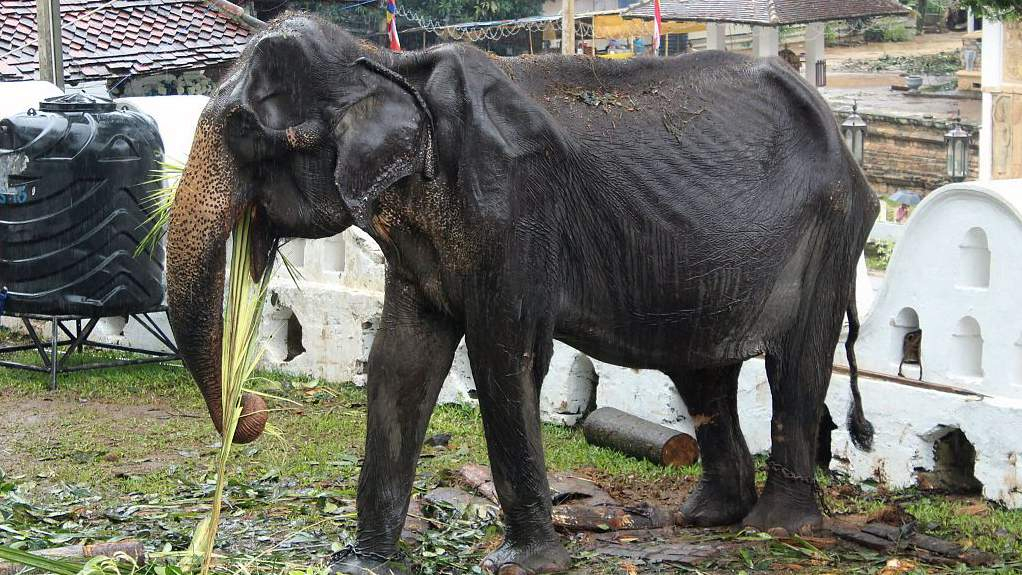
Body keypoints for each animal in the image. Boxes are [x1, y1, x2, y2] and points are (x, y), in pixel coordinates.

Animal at [165, 14, 878, 575]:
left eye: (246, 132)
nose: (253, 406)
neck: (388, 68)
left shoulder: (513, 211)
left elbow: (505, 357)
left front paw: (521, 564)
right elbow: (400, 362)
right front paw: (361, 565)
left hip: (829, 235)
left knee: (796, 364)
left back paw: (777, 528)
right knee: (703, 372)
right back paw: (708, 518)